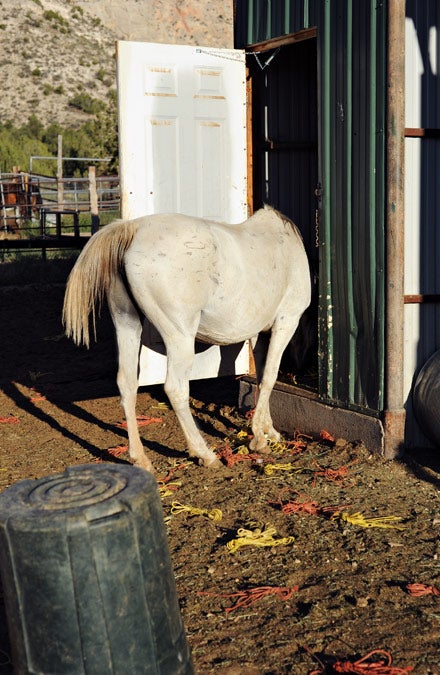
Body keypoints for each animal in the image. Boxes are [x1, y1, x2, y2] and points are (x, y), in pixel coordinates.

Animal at [63, 209, 312, 472]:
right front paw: (259, 439)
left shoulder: (259, 334)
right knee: (176, 388)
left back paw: (141, 459)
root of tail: (133, 229)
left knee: (127, 384)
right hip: (179, 337)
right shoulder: (286, 322)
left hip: (127, 325)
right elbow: (270, 378)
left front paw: (269, 431)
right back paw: (205, 453)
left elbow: (263, 376)